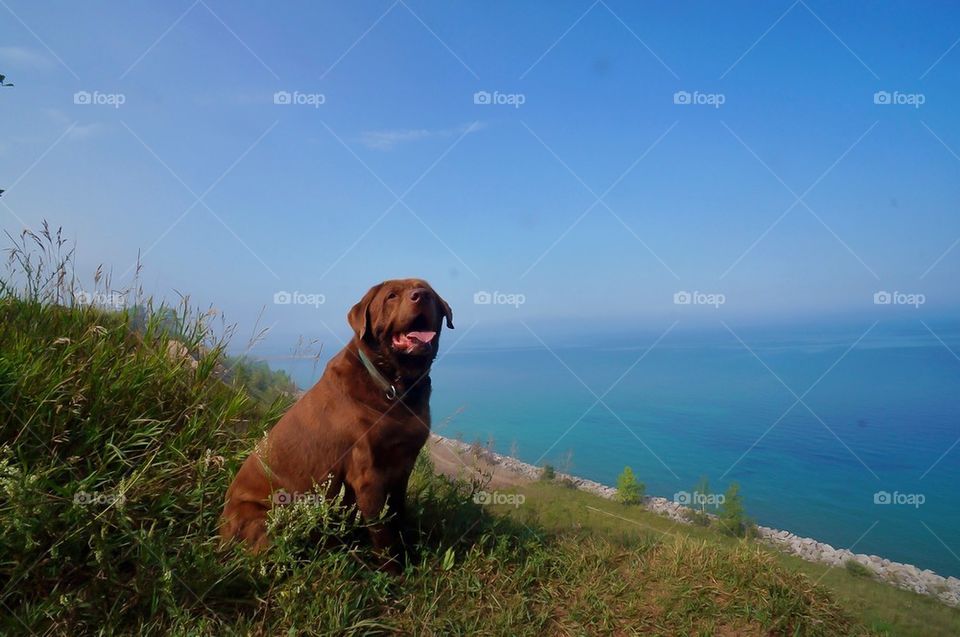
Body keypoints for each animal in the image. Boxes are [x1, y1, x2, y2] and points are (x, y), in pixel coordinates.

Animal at [221, 278, 454, 572]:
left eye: (429, 292)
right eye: (391, 296)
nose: (421, 295)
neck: (394, 386)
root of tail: (220, 529)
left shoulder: (403, 467)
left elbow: (398, 514)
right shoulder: (368, 475)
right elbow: (382, 531)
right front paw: (393, 570)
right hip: (264, 517)